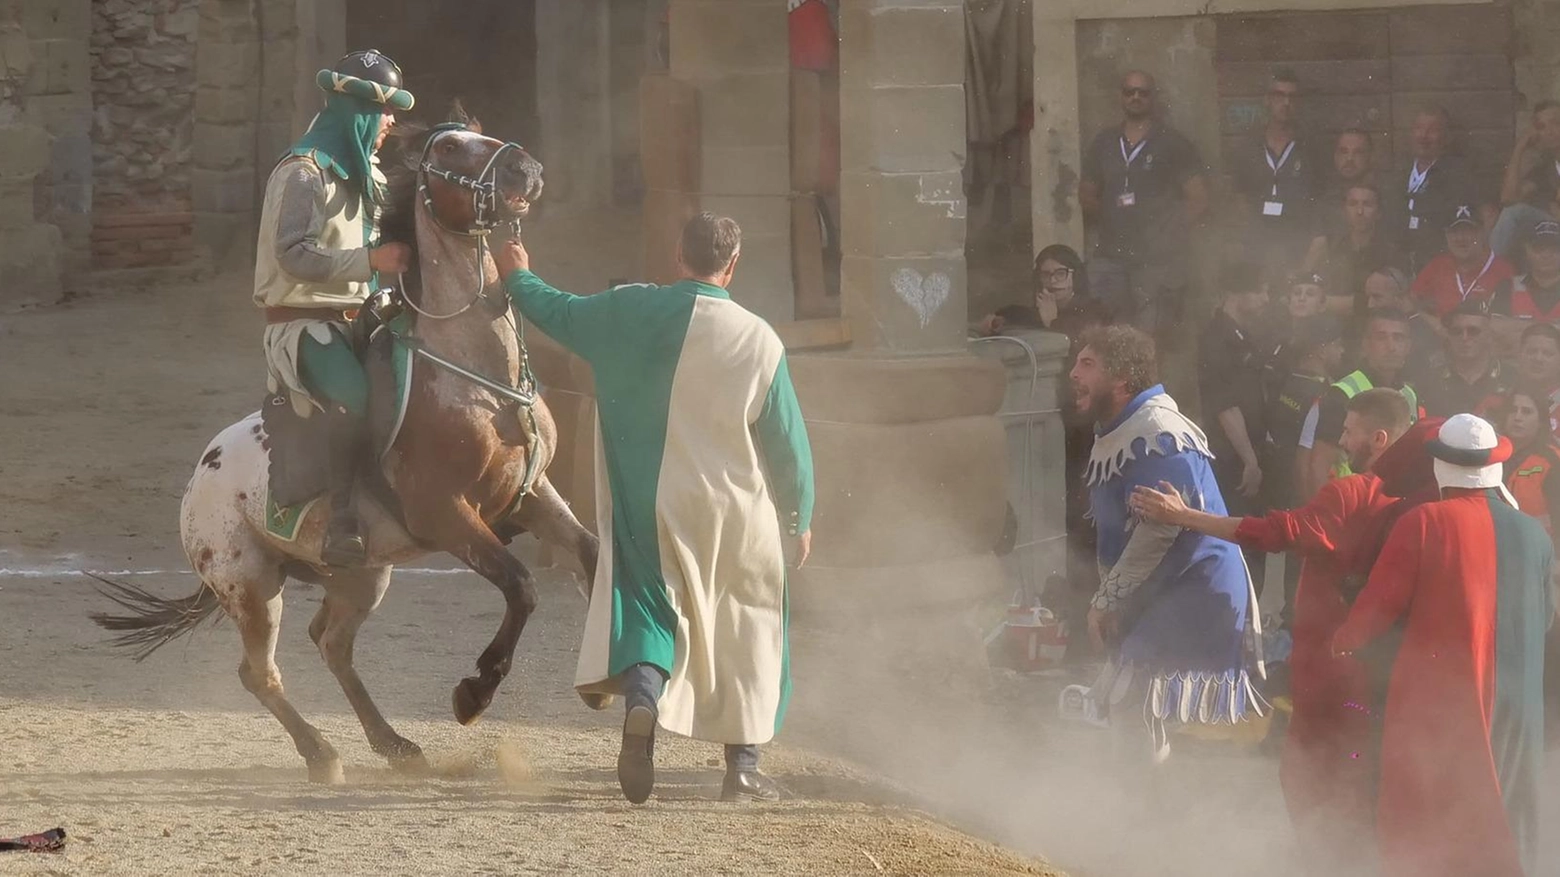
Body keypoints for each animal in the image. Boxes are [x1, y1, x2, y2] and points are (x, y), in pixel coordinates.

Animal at [91, 106, 599, 780]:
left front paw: (604, 682)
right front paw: (474, 693)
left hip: (361, 577)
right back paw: (322, 753)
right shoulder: (448, 515)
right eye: (450, 147)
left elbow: (592, 555)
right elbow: (521, 586)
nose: (525, 167)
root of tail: (203, 472)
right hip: (251, 586)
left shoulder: (532, 495)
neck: (473, 374)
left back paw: (394, 744)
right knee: (260, 673)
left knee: (330, 644)